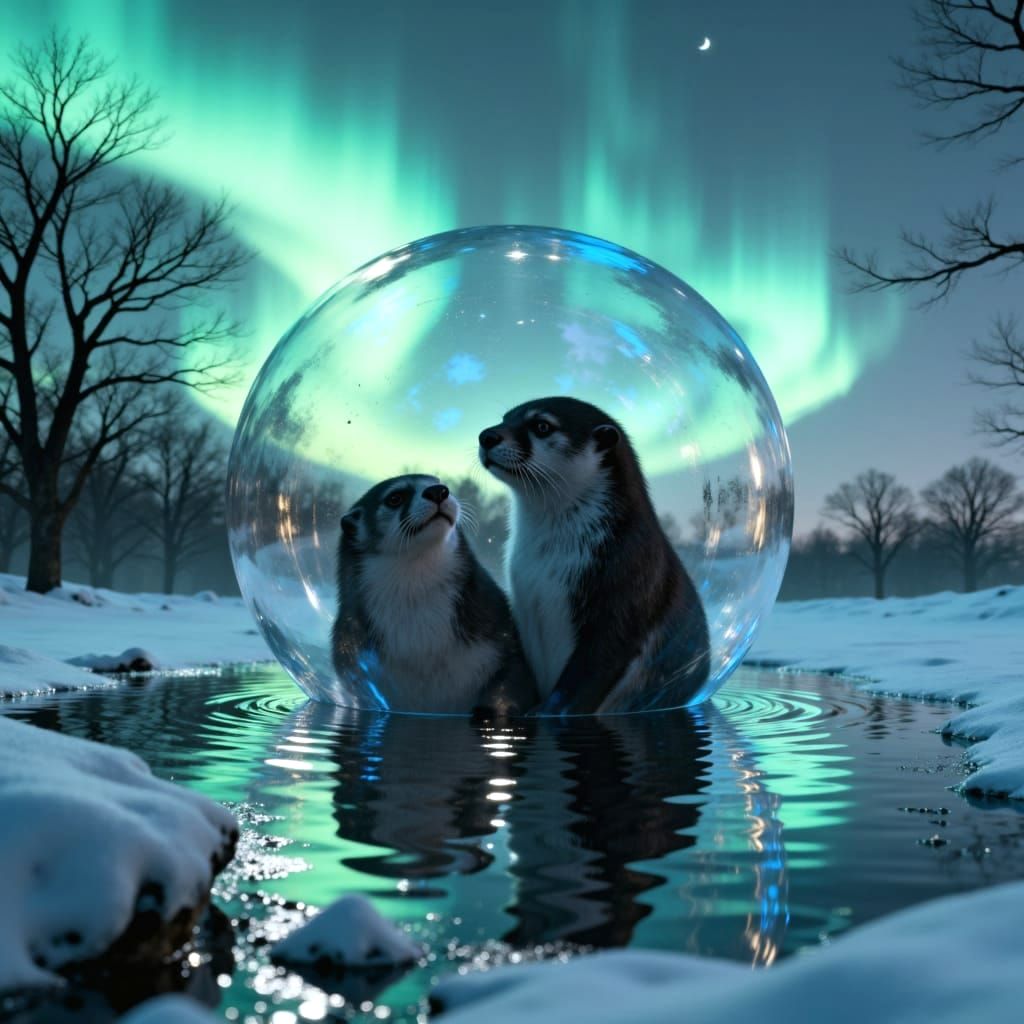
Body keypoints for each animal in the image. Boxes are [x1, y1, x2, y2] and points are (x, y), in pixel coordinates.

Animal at [478, 397, 711, 714]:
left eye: (542, 426)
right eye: (504, 418)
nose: (487, 435)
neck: (545, 566)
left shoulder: (627, 587)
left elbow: (590, 673)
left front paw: (544, 712)